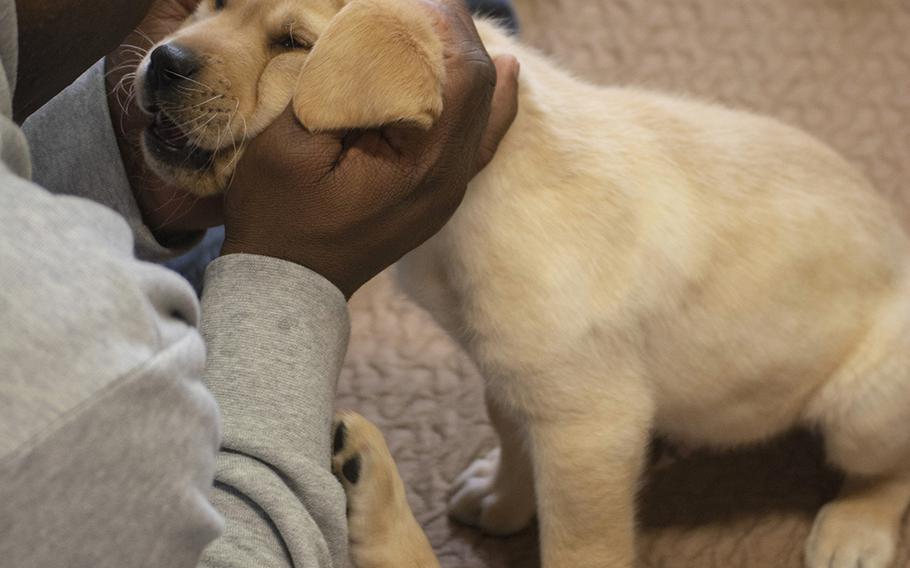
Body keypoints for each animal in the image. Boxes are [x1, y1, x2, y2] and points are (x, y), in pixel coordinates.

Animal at [135, 2, 910, 564]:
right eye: (213, 2)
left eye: (293, 43)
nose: (162, 60)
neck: (478, 193)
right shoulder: (512, 368)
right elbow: (508, 423)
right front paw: (504, 499)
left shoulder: (589, 423)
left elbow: (578, 542)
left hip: (858, 405)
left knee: (887, 469)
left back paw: (854, 530)